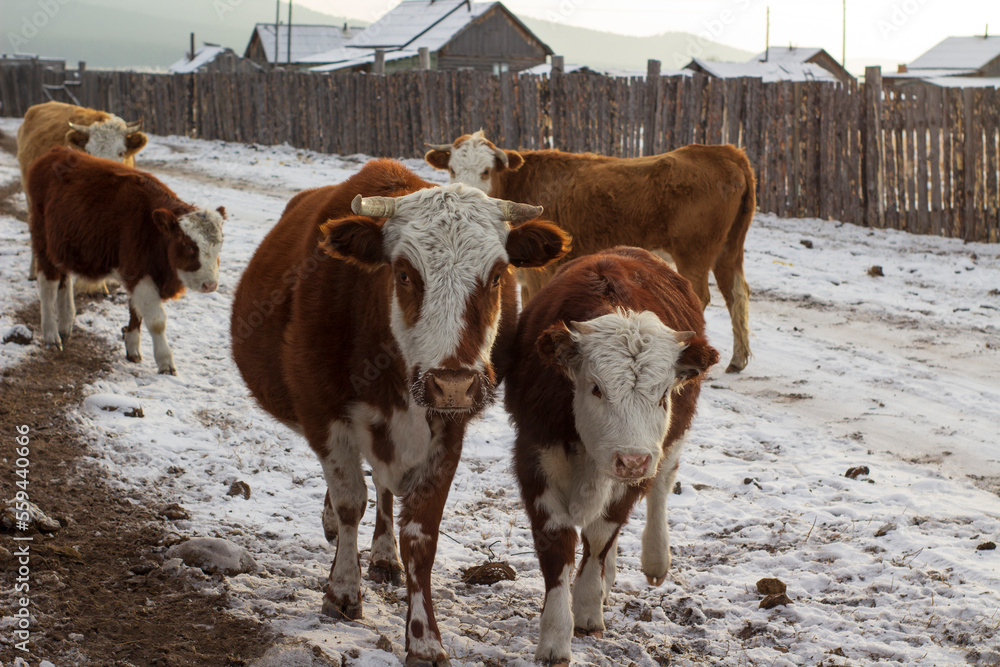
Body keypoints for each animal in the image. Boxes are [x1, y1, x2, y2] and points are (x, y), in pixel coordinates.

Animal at [28, 146, 225, 375]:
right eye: (188, 246)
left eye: (220, 245)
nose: (210, 285)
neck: (151, 229)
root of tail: (57, 151)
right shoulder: (138, 273)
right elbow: (156, 320)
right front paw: (165, 361)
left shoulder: (137, 272)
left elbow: (136, 311)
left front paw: (132, 348)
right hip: (43, 242)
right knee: (48, 285)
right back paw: (51, 335)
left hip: (63, 247)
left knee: (64, 279)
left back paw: (65, 324)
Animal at [230, 159, 570, 666]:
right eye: (406, 274)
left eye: (495, 276)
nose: (453, 383)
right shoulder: (324, 416)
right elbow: (350, 503)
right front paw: (342, 591)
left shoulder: (448, 434)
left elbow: (419, 534)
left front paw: (424, 637)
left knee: (385, 491)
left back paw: (384, 555)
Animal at [425, 131, 754, 373]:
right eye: (452, 169)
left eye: (486, 170)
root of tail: (724, 151)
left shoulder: (540, 272)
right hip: (729, 250)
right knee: (738, 294)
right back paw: (738, 359)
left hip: (694, 253)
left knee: (703, 297)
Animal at [504, 247, 719, 666]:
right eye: (596, 388)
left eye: (663, 394)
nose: (631, 460)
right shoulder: (534, 457)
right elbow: (557, 544)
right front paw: (555, 637)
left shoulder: (639, 468)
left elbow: (602, 533)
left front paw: (587, 608)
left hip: (666, 447)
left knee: (661, 487)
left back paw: (653, 559)